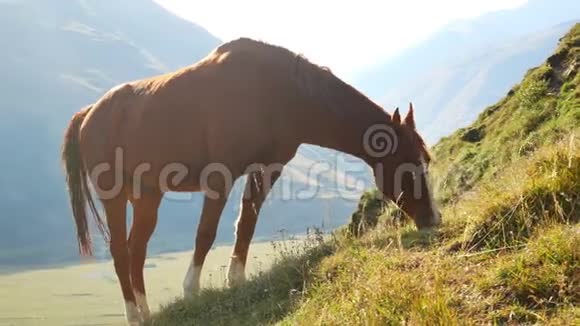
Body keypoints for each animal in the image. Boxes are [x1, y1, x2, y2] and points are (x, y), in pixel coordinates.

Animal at [61, 37, 440, 324]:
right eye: (408, 164)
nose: (433, 219)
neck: (280, 93)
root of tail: (89, 114)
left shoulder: (268, 169)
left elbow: (247, 222)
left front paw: (236, 279)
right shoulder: (220, 175)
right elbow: (205, 233)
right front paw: (192, 291)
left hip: (147, 196)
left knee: (136, 250)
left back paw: (146, 312)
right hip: (114, 197)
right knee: (120, 252)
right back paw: (133, 315)